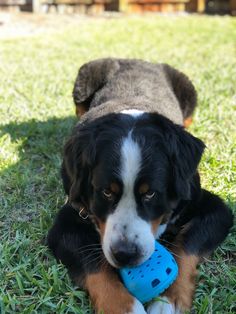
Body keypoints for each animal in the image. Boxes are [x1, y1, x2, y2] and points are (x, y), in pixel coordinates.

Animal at [47, 57, 233, 312]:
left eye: (150, 194)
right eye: (106, 192)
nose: (125, 254)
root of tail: (136, 59)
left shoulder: (212, 207)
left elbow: (187, 245)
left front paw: (169, 300)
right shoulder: (67, 221)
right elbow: (93, 264)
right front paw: (122, 306)